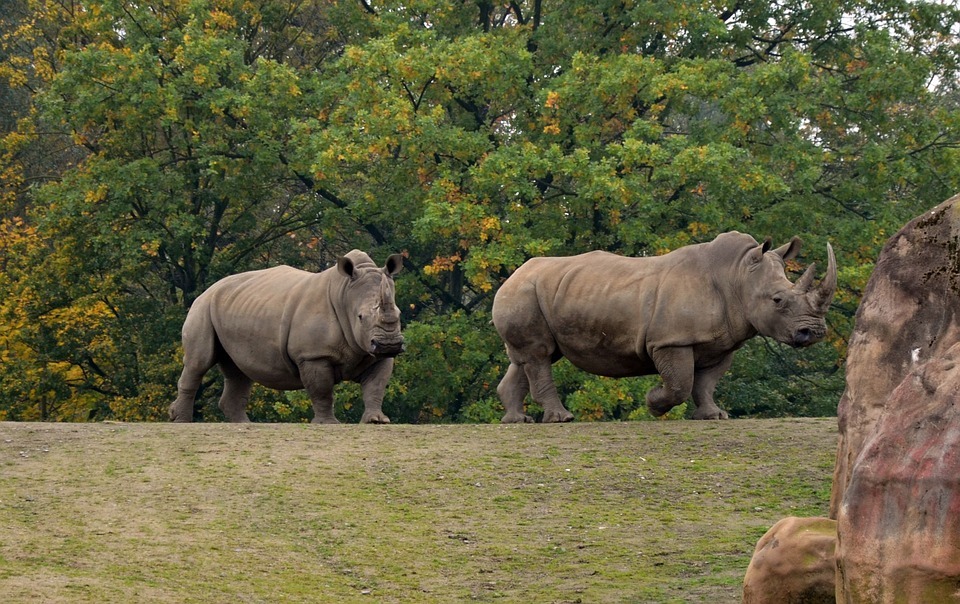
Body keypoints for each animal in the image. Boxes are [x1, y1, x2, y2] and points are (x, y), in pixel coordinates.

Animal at [169, 250, 404, 424]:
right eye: (360, 317)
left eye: (399, 314)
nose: (390, 344)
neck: (345, 294)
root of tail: (209, 288)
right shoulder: (313, 355)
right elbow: (322, 390)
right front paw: (328, 423)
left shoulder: (374, 353)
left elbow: (376, 386)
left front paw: (376, 421)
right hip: (202, 307)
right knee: (199, 363)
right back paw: (181, 421)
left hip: (232, 309)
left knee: (238, 371)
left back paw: (244, 424)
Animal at [492, 232, 836, 422]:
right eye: (778, 300)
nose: (815, 332)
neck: (737, 275)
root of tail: (512, 275)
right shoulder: (671, 340)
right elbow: (681, 383)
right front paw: (653, 403)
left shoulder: (722, 343)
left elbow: (706, 383)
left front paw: (713, 416)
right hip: (524, 293)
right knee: (539, 355)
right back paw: (561, 419)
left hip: (539, 293)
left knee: (528, 358)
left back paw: (517, 420)